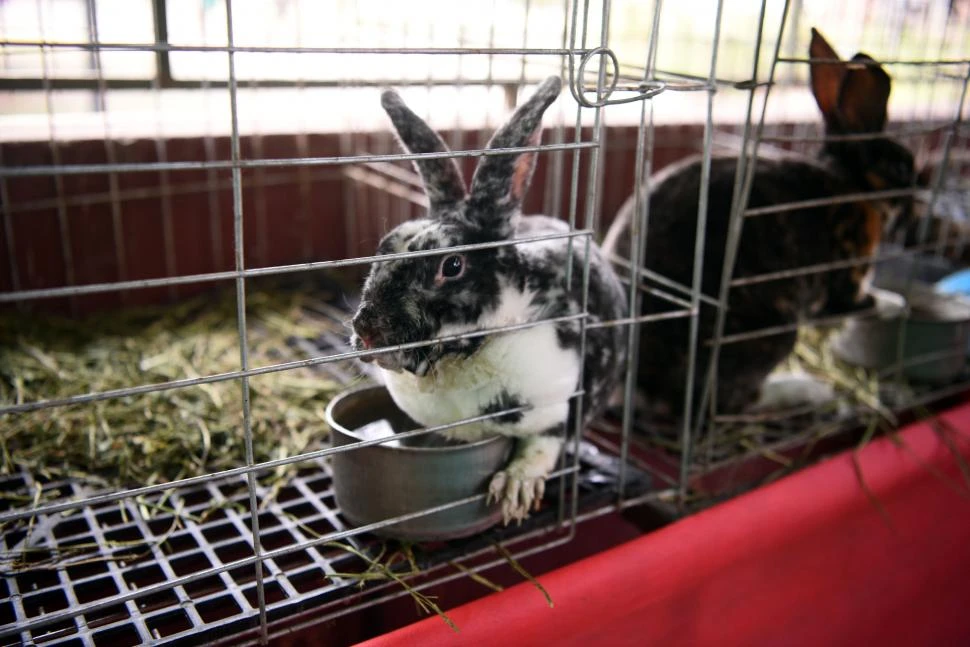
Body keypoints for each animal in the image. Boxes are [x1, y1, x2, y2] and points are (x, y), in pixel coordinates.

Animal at [604, 29, 916, 426]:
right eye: (901, 165)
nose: (917, 194)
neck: (851, 183)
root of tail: (643, 388)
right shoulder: (844, 283)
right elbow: (862, 304)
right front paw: (898, 304)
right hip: (777, 332)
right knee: (731, 405)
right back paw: (806, 389)